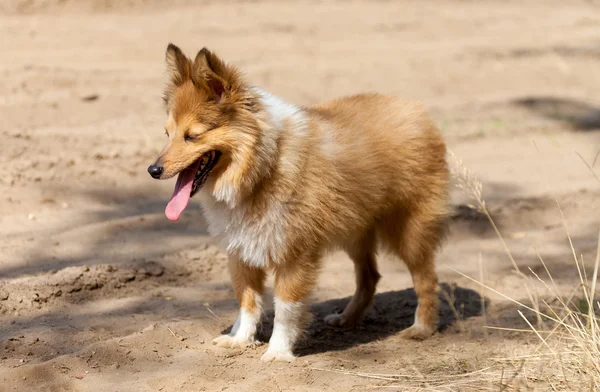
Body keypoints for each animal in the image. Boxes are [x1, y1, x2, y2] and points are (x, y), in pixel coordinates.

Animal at [149, 43, 450, 362]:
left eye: (192, 136)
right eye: (167, 133)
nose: (152, 170)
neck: (262, 167)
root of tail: (415, 109)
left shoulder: (293, 254)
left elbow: (285, 308)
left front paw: (278, 352)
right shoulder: (241, 251)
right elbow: (247, 301)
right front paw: (240, 339)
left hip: (409, 231)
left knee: (426, 279)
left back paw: (422, 328)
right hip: (356, 233)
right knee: (369, 276)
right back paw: (347, 318)